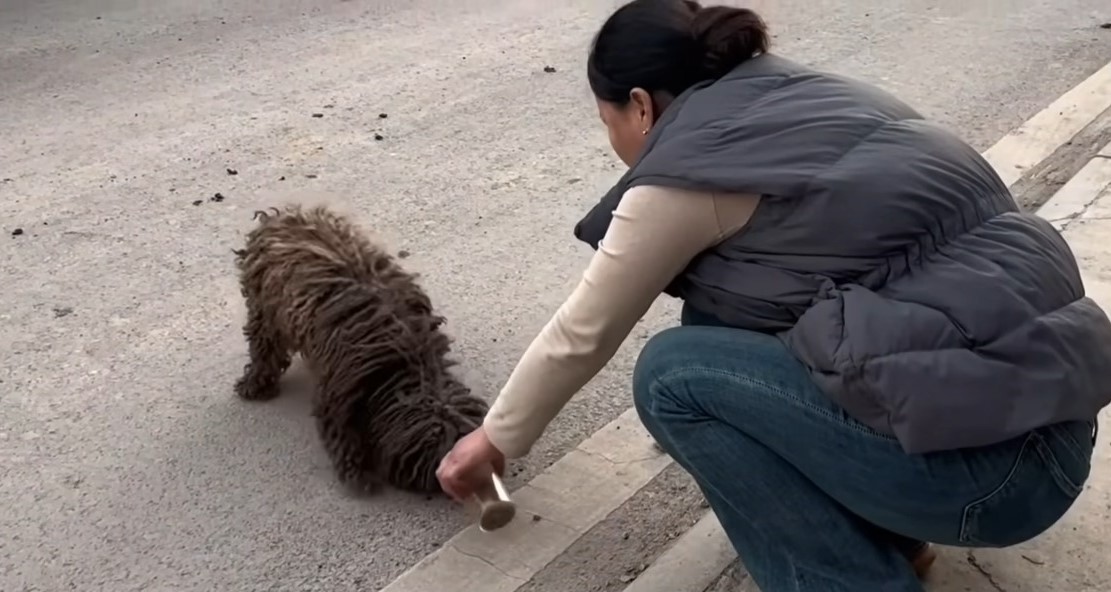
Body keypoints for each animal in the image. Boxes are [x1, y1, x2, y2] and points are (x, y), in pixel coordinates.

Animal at [233, 205, 486, 490]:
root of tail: (280, 216)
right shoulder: (338, 391)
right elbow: (340, 432)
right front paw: (356, 471)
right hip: (265, 311)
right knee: (264, 349)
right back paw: (255, 385)